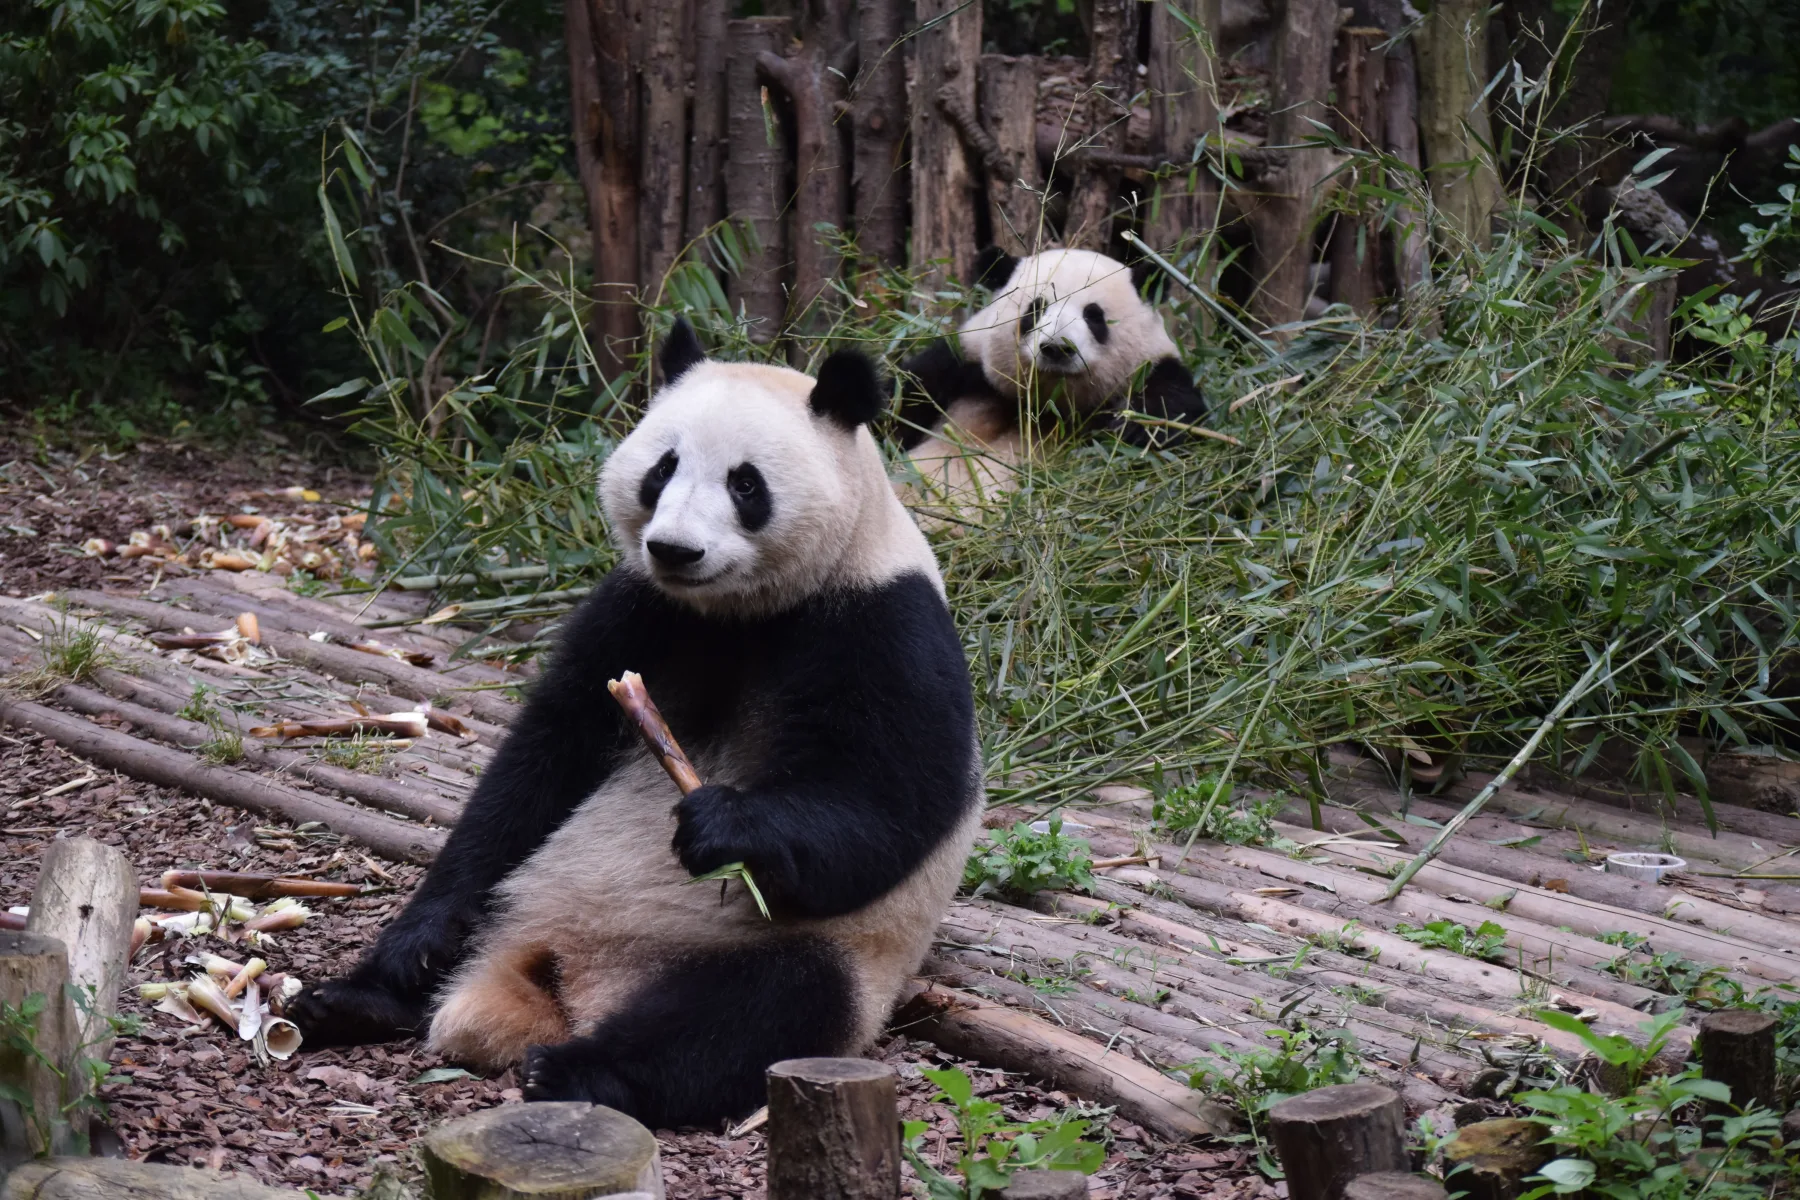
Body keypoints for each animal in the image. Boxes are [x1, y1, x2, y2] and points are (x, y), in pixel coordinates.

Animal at [288, 321, 984, 1129]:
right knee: (478, 900)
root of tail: (568, 985)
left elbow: (886, 801)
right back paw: (362, 995)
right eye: (663, 467)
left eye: (746, 484)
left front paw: (723, 825)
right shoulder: (641, 609)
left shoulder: (883, 621)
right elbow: (542, 758)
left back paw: (578, 1070)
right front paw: (414, 944)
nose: (675, 549)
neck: (740, 611)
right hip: (518, 901)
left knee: (756, 1006)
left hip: (804, 956)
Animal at [895, 247, 1209, 523]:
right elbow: (905, 397)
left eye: (1093, 315)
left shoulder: (1154, 372)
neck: (1047, 406)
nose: (1057, 347)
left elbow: (1170, 418)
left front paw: (1132, 429)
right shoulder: (963, 368)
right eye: (1036, 309)